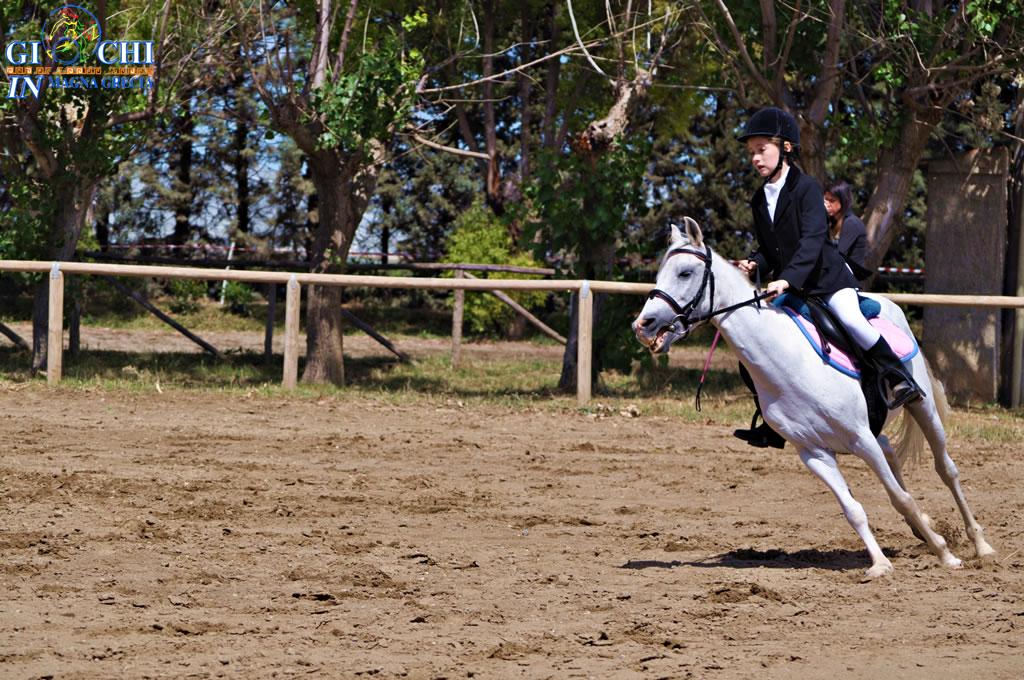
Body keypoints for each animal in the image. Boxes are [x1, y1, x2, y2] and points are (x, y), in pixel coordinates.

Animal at [630, 218, 991, 577]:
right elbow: (853, 509)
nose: (642, 325)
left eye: (685, 273)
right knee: (890, 450)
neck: (789, 362)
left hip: (921, 406)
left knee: (945, 469)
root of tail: (884, 303)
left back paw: (980, 545)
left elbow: (899, 498)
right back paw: (924, 529)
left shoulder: (861, 439)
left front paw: (944, 553)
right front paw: (880, 564)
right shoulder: (814, 453)